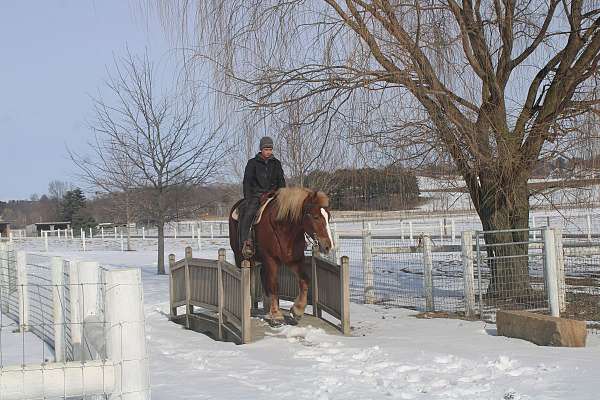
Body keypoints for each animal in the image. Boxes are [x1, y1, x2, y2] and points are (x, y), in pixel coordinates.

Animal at [229, 186, 332, 324]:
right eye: (315, 217)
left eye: (328, 216)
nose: (327, 246)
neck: (284, 228)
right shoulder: (271, 260)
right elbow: (274, 285)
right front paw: (276, 315)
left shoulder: (294, 261)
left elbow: (304, 280)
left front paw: (297, 310)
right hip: (241, 257)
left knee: (263, 277)